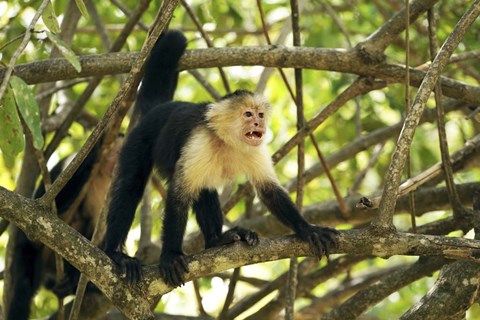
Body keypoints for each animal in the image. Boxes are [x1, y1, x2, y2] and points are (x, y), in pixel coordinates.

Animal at [103, 30, 340, 288]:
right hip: (138, 140)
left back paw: (217, 240)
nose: (259, 123)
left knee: (204, 190)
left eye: (260, 114)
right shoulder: (199, 142)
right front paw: (171, 256)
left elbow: (269, 191)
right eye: (248, 114)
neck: (229, 142)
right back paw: (115, 253)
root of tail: (159, 110)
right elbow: (179, 196)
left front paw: (308, 229)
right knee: (131, 187)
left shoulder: (256, 150)